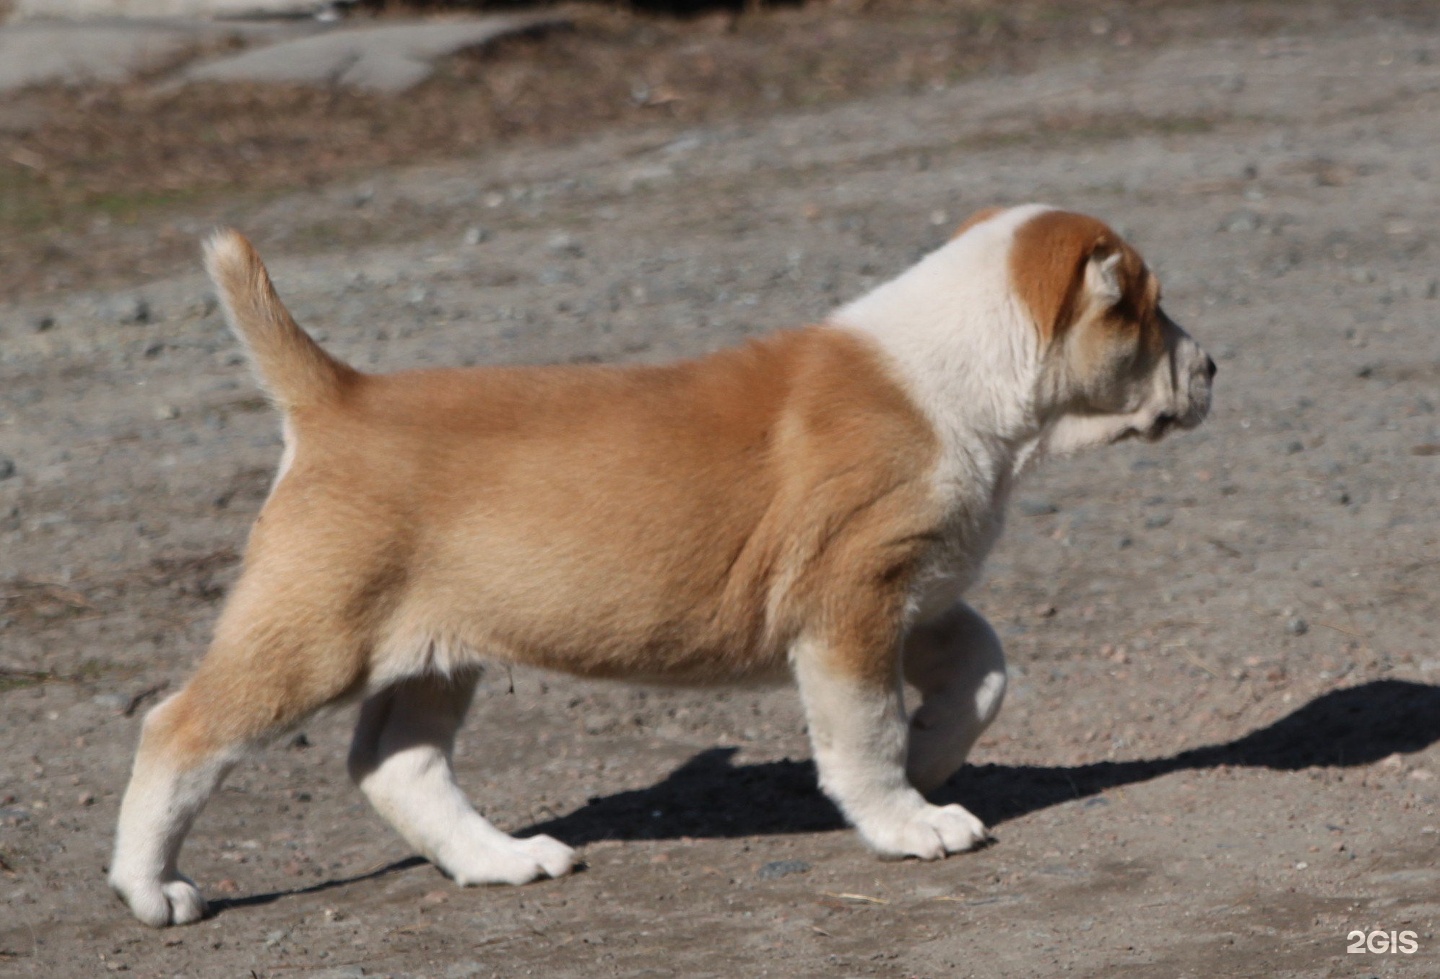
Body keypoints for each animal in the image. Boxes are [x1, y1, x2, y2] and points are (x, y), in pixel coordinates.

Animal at [109, 200, 1215, 927]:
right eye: (1149, 310)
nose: (1212, 366)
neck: (963, 373)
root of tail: (338, 395)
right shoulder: (851, 604)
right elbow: (862, 735)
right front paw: (909, 819)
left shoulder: (919, 594)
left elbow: (985, 668)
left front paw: (935, 751)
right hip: (313, 635)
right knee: (180, 728)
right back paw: (150, 886)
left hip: (433, 654)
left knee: (398, 764)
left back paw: (503, 860)